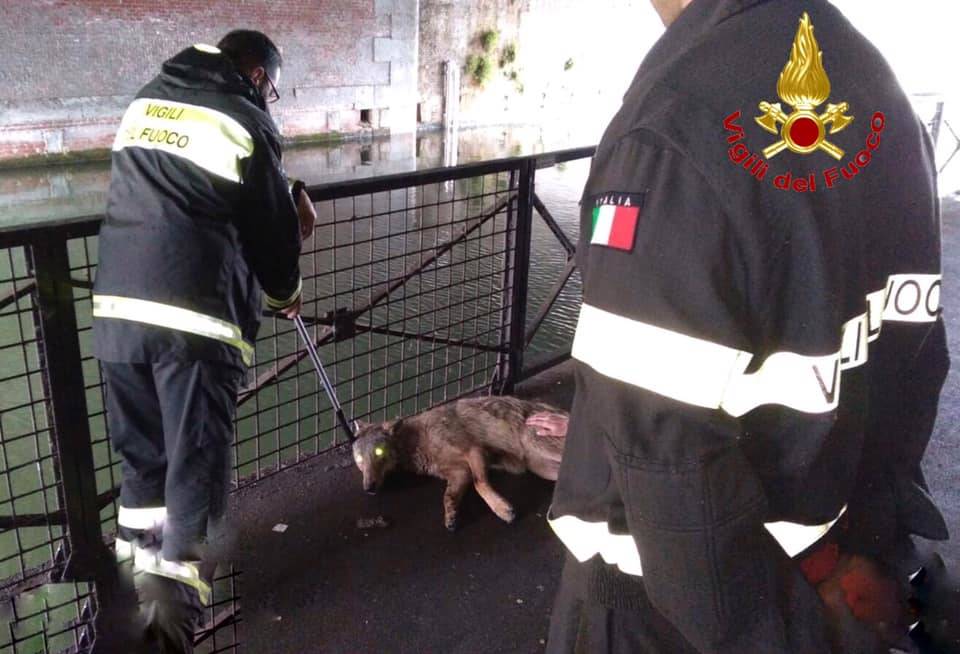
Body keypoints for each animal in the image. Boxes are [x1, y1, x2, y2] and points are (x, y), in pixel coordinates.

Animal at [350, 398, 568, 532]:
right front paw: (451, 516)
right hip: (542, 468)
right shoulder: (459, 471)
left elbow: (479, 484)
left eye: (379, 453)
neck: (417, 440)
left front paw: (502, 510)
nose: (369, 488)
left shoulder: (474, 451)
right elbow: (448, 496)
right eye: (359, 460)